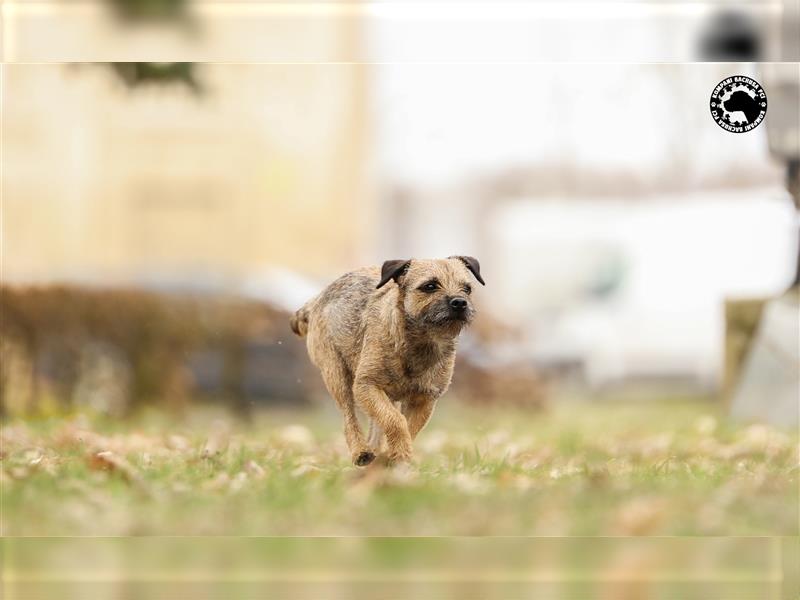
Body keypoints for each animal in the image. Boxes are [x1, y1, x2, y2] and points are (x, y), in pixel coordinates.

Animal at [290, 255, 484, 466]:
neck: (420, 343)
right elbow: (395, 420)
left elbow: (408, 426)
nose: (460, 302)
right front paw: (400, 454)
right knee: (349, 417)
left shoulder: (425, 400)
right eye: (430, 286)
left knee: (375, 426)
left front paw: (399, 458)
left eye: (467, 288)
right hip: (336, 373)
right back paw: (360, 452)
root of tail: (317, 299)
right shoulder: (366, 385)